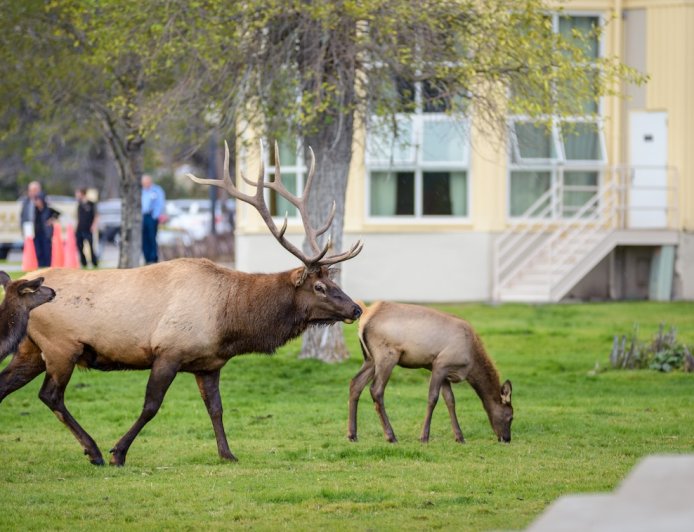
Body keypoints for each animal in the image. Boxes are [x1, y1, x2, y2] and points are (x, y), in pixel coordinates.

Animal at [0, 141, 363, 466]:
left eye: (333, 281)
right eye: (320, 286)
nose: (356, 309)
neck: (231, 323)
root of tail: (19, 283)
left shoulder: (209, 364)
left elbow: (216, 408)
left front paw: (227, 453)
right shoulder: (168, 351)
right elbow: (151, 405)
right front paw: (119, 452)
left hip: (31, 349)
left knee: (7, 385)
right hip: (62, 347)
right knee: (51, 396)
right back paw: (95, 451)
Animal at [348, 301, 513, 444]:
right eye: (510, 416)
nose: (506, 439)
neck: (471, 365)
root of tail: (365, 317)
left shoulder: (445, 372)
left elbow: (450, 401)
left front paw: (459, 437)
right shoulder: (440, 364)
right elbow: (432, 398)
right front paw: (424, 437)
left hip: (370, 359)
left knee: (355, 383)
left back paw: (352, 435)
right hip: (387, 355)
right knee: (376, 390)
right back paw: (391, 436)